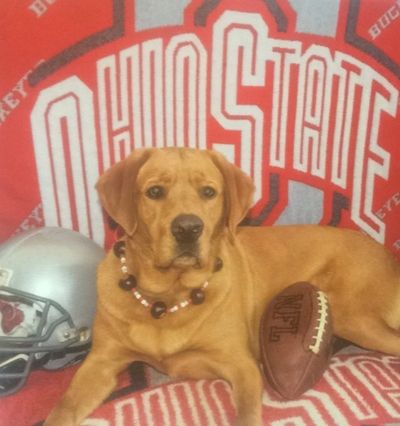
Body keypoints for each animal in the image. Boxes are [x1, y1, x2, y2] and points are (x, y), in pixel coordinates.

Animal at [45, 148, 400, 424]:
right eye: (155, 192)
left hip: (354, 316)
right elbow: (62, 409)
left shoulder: (242, 366)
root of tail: (385, 252)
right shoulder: (100, 364)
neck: (168, 295)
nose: (188, 228)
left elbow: (246, 414)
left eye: (208, 192)